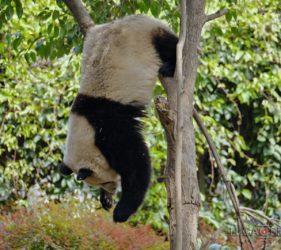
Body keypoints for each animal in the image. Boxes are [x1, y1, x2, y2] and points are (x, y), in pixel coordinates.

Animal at [58, 15, 177, 223]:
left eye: (102, 180)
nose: (111, 189)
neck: (85, 124)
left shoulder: (110, 126)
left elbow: (136, 162)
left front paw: (121, 211)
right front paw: (106, 200)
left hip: (148, 36)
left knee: (170, 46)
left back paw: (169, 66)